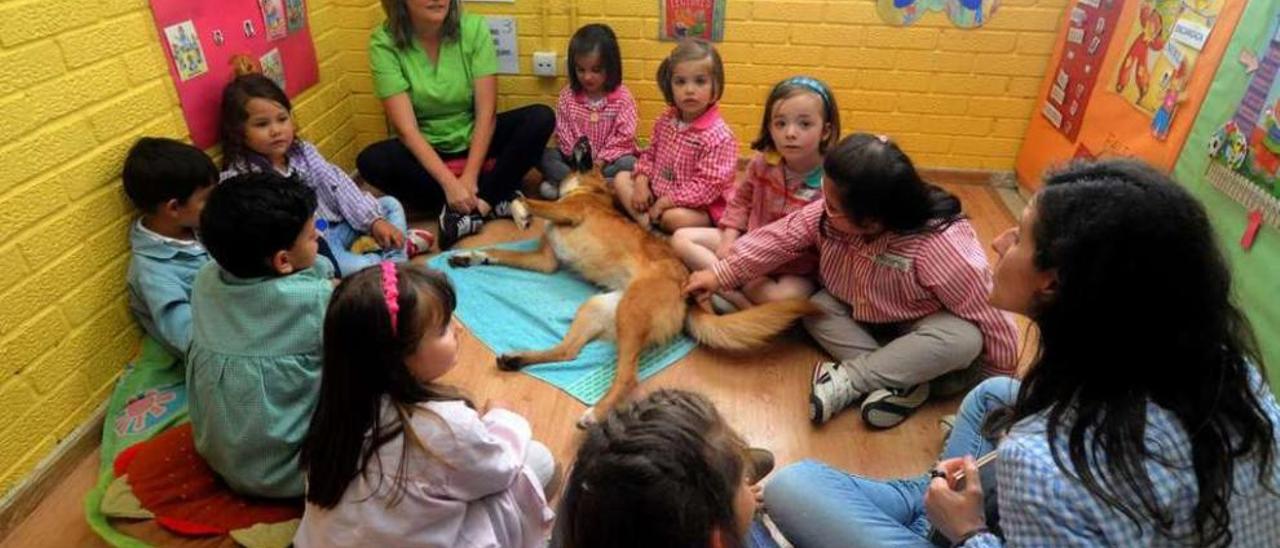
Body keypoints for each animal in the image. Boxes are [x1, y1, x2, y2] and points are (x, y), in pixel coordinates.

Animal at [448, 138, 819, 425]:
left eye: (595, 159)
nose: (585, 137)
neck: (587, 189)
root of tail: (686, 286)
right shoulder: (546, 262)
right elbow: (497, 250)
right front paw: (472, 257)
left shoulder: (568, 212)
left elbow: (525, 198)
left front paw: (521, 212)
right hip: (597, 307)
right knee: (569, 352)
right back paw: (517, 359)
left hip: (631, 312)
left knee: (628, 376)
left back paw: (597, 413)